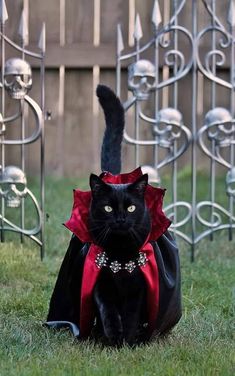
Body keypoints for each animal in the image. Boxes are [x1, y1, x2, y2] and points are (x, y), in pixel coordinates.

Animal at [46, 85, 182, 346]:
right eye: (108, 208)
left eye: (130, 208)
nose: (120, 219)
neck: (119, 254)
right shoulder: (101, 283)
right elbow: (107, 309)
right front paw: (111, 335)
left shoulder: (138, 290)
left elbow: (130, 314)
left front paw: (126, 340)